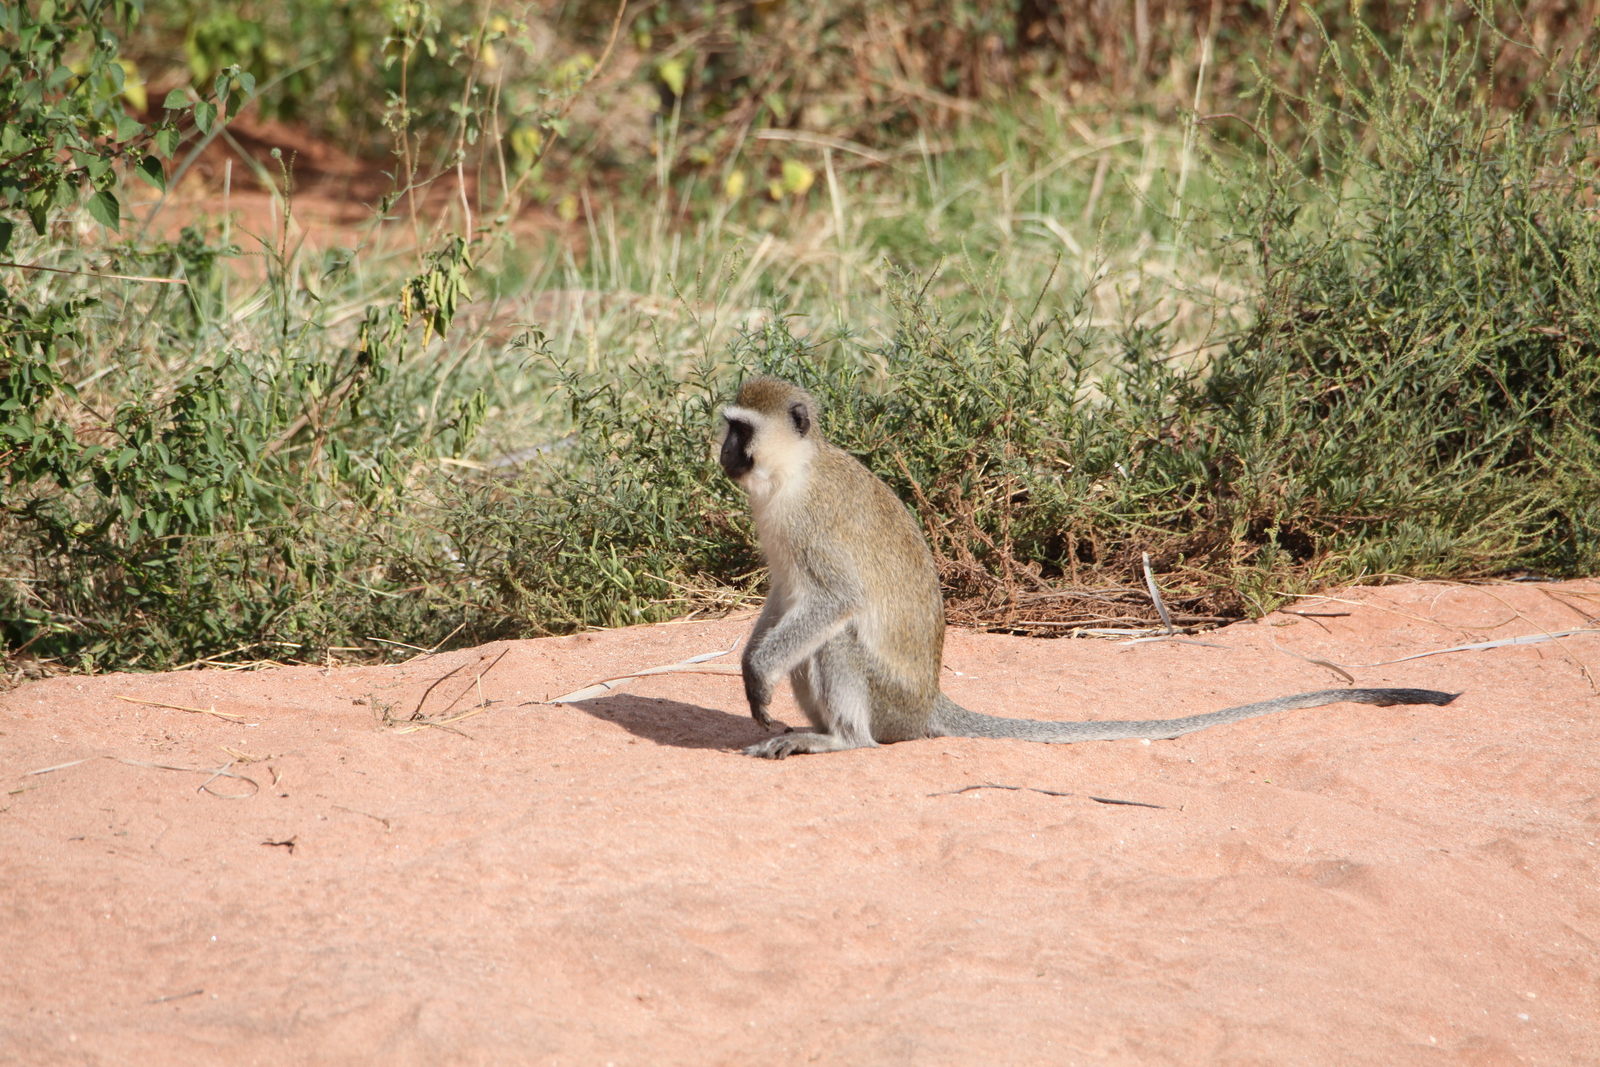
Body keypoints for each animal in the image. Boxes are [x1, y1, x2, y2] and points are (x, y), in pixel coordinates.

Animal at [720, 377, 1459, 758]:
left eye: (739, 428)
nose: (721, 454)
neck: (793, 472)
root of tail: (929, 702)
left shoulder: (813, 522)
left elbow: (837, 600)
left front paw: (758, 675)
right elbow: (784, 597)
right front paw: (750, 667)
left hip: (891, 701)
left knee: (839, 647)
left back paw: (841, 741)